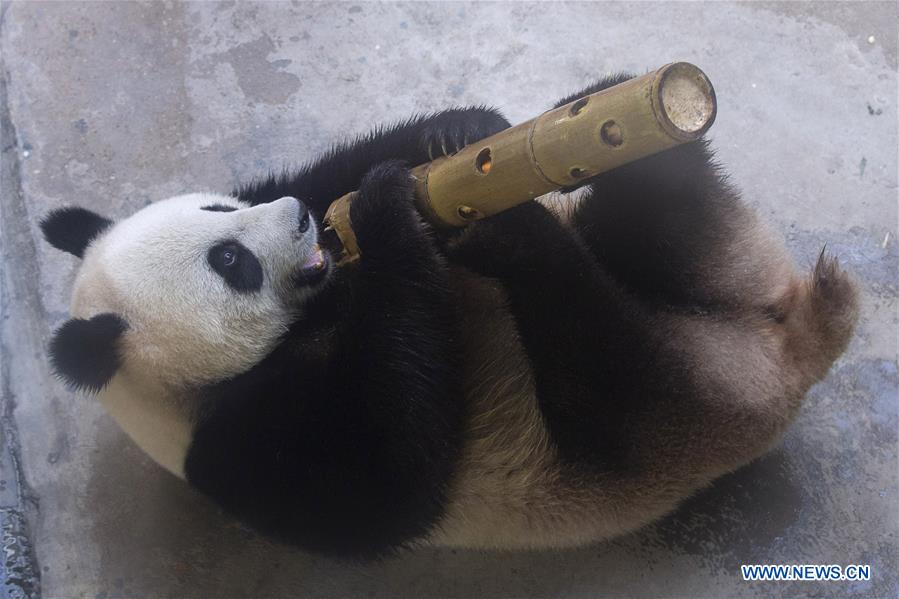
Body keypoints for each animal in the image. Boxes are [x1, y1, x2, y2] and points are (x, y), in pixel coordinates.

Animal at [40, 75, 856, 556]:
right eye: (230, 261)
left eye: (217, 211)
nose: (303, 221)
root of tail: (794, 333)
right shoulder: (236, 447)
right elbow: (389, 474)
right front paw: (388, 217)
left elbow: (337, 168)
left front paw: (451, 136)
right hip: (676, 415)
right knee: (611, 365)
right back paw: (515, 240)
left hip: (719, 261)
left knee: (661, 219)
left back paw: (617, 116)